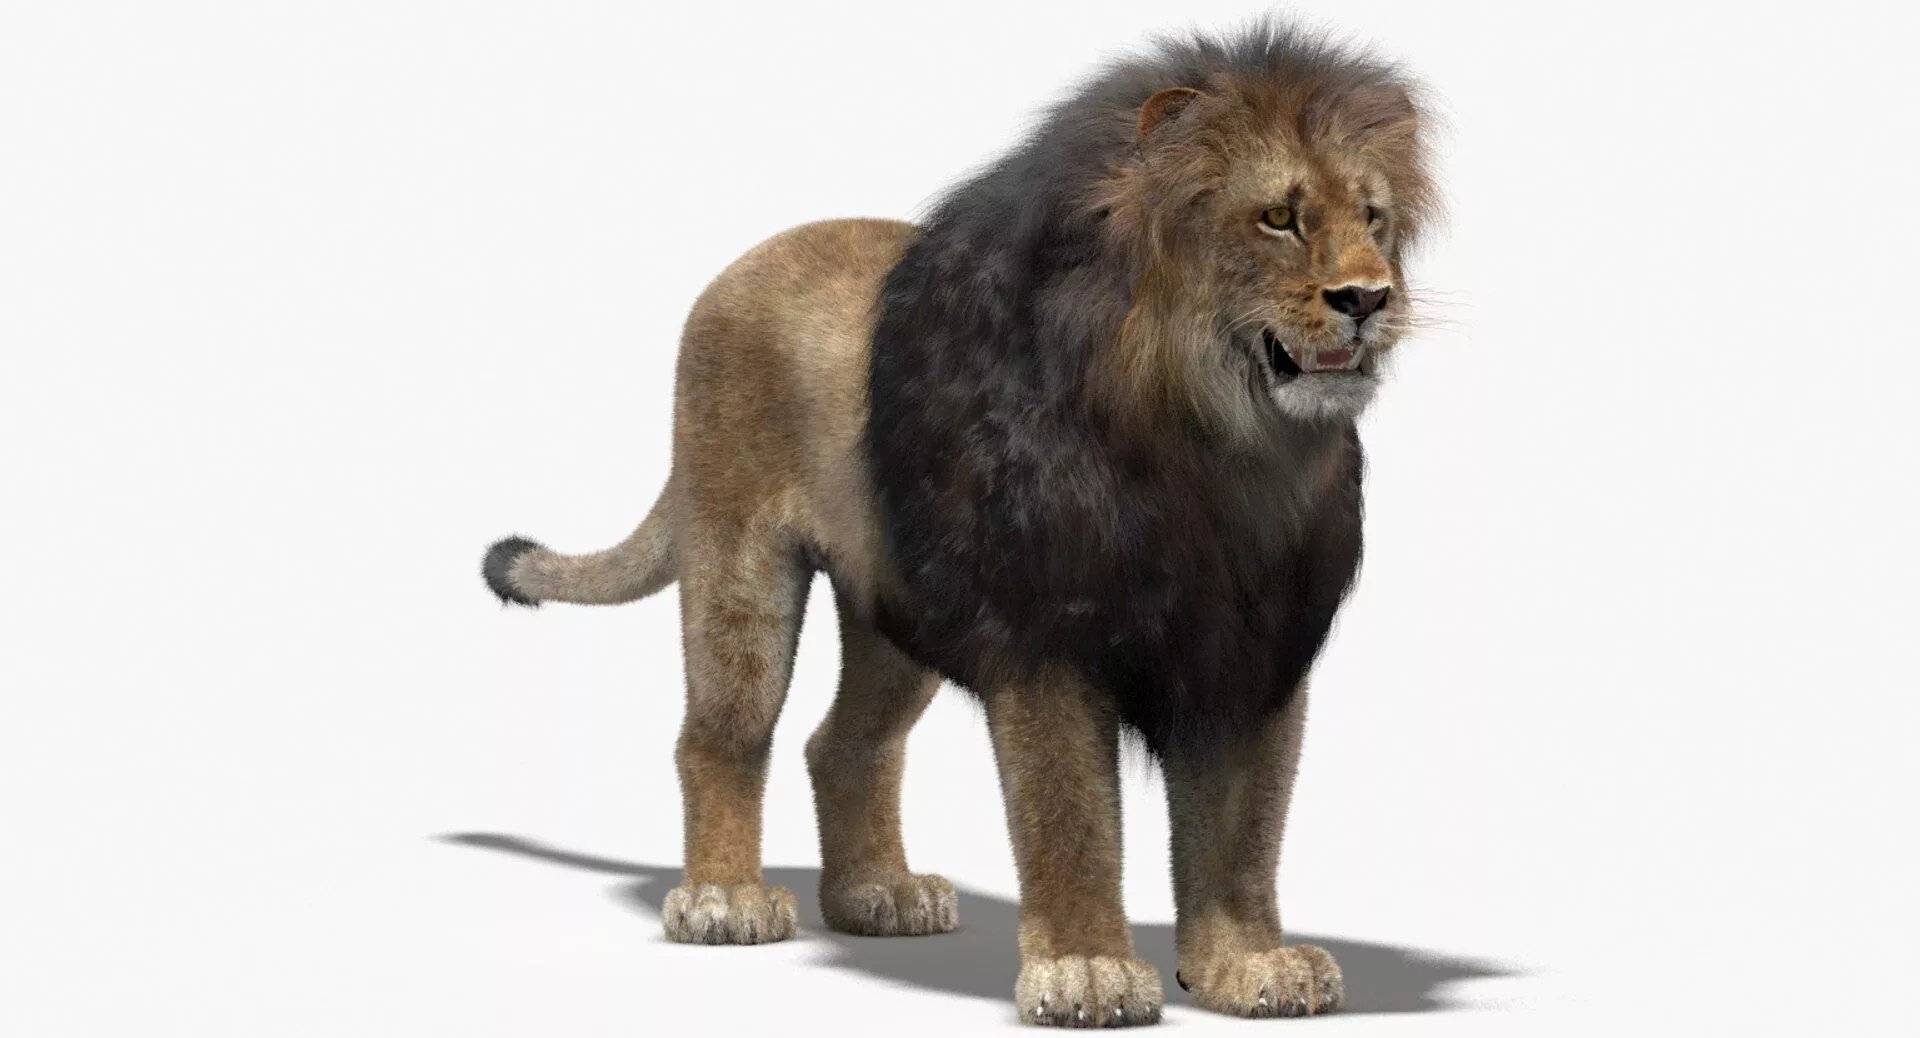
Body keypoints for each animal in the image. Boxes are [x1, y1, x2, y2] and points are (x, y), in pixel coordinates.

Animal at [481, 21, 1437, 1027]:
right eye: (1279, 218)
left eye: (1372, 219)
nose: (1369, 298)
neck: (1213, 449)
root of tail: (744, 264)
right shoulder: (1047, 637)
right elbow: (1069, 817)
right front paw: (1088, 970)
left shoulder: (1257, 648)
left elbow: (1243, 830)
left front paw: (1247, 965)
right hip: (739, 564)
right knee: (721, 733)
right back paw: (723, 899)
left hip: (896, 610)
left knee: (843, 743)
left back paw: (878, 895)